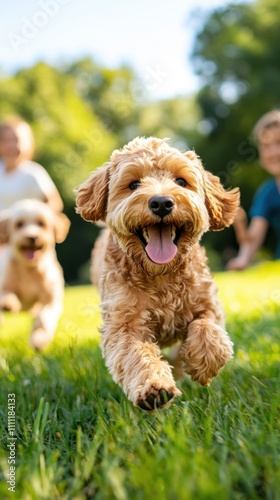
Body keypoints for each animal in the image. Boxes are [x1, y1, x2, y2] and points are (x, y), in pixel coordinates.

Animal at [0, 198, 69, 348]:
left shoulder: (50, 301)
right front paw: (8, 304)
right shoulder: (5, 284)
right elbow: (6, 294)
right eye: (19, 224)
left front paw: (39, 339)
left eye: (41, 223)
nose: (32, 237)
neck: (30, 269)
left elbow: (44, 318)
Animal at [75, 137, 240, 410]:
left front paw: (203, 363)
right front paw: (155, 387)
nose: (161, 202)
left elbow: (206, 326)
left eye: (181, 181)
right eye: (133, 184)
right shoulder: (123, 324)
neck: (161, 274)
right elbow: (136, 353)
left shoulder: (207, 302)